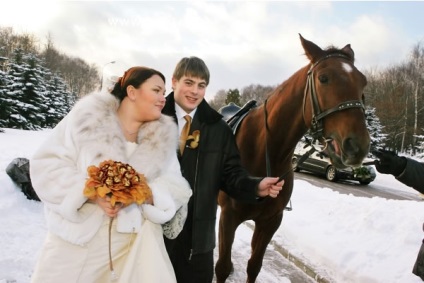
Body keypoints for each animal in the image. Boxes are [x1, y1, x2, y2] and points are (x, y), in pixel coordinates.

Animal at [214, 34, 370, 282]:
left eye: (362, 82)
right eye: (323, 78)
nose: (357, 146)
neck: (265, 151)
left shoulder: (270, 222)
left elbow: (254, 266)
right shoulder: (228, 217)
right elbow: (222, 266)